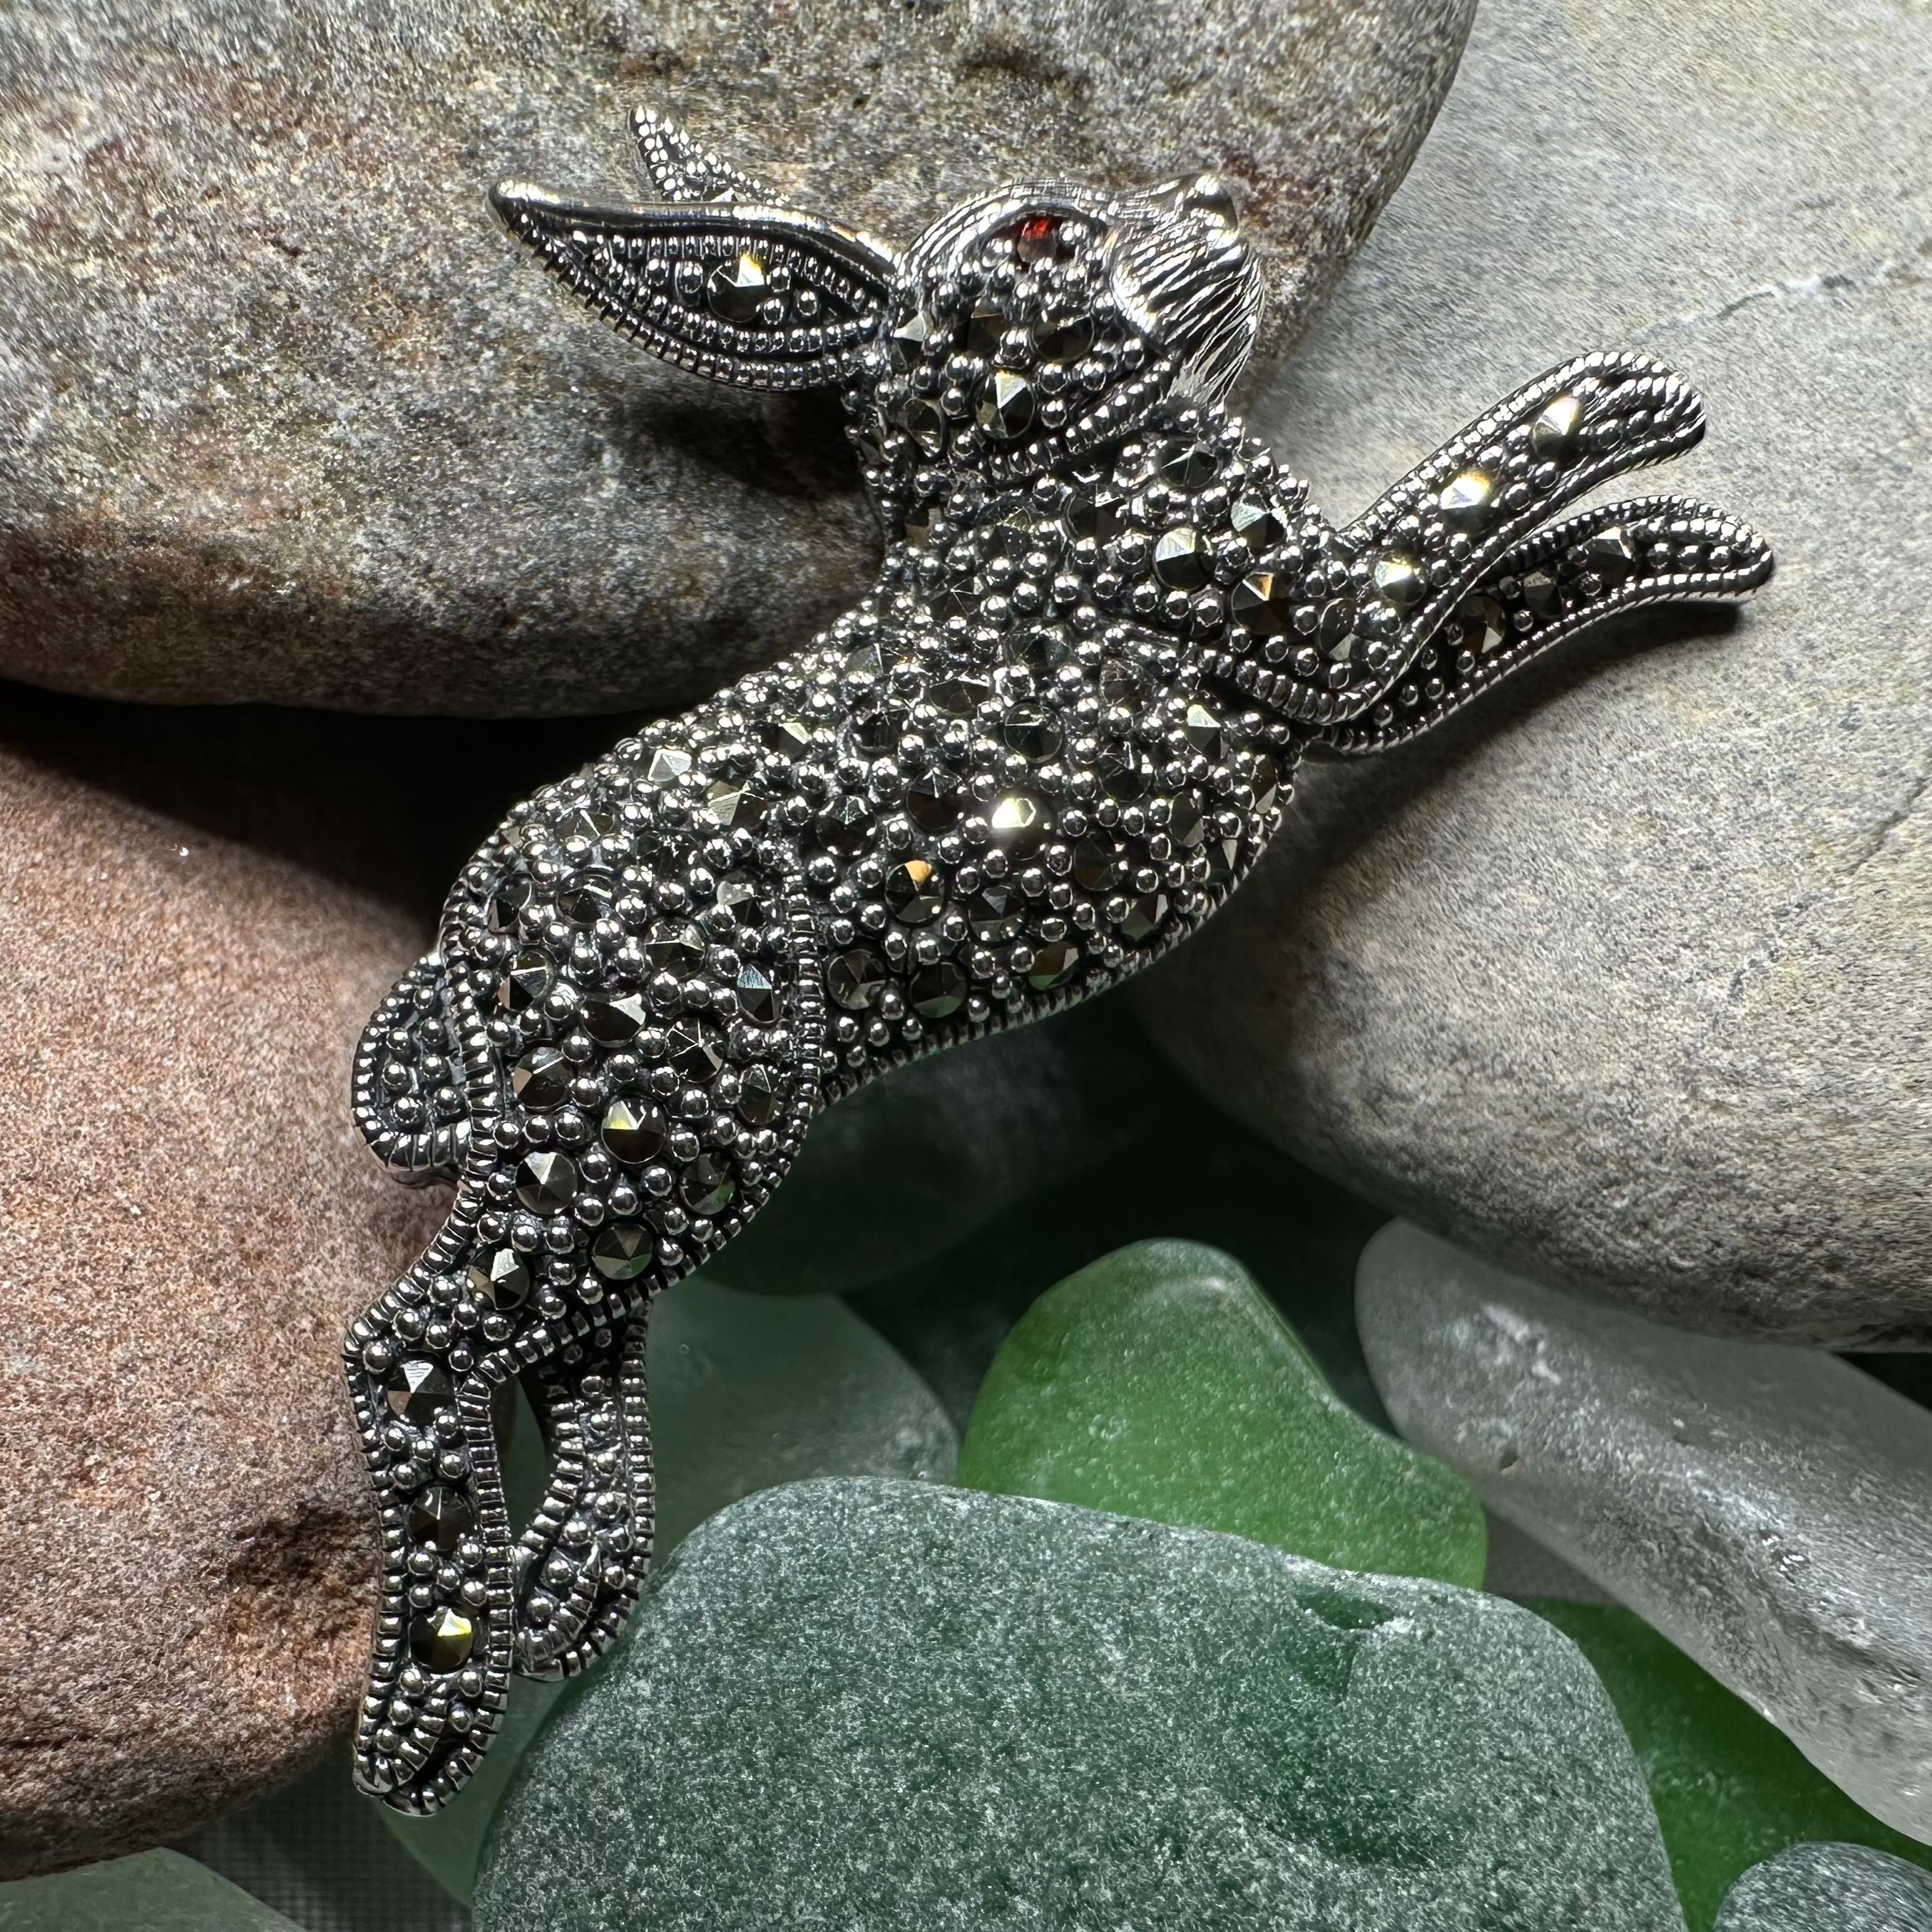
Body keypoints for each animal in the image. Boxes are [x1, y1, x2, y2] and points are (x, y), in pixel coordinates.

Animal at [342, 107, 1774, 1810]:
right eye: (1038, 233)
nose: (1215, 203)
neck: (1035, 467)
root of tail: (476, 915)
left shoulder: (1343, 690)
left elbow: (1504, 587)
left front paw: (1687, 541)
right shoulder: (1328, 623)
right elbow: (1463, 501)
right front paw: (1632, 406)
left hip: (632, 1149)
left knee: (576, 1346)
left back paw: (573, 1584)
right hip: (673, 1114)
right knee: (413, 1346)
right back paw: (433, 1698)